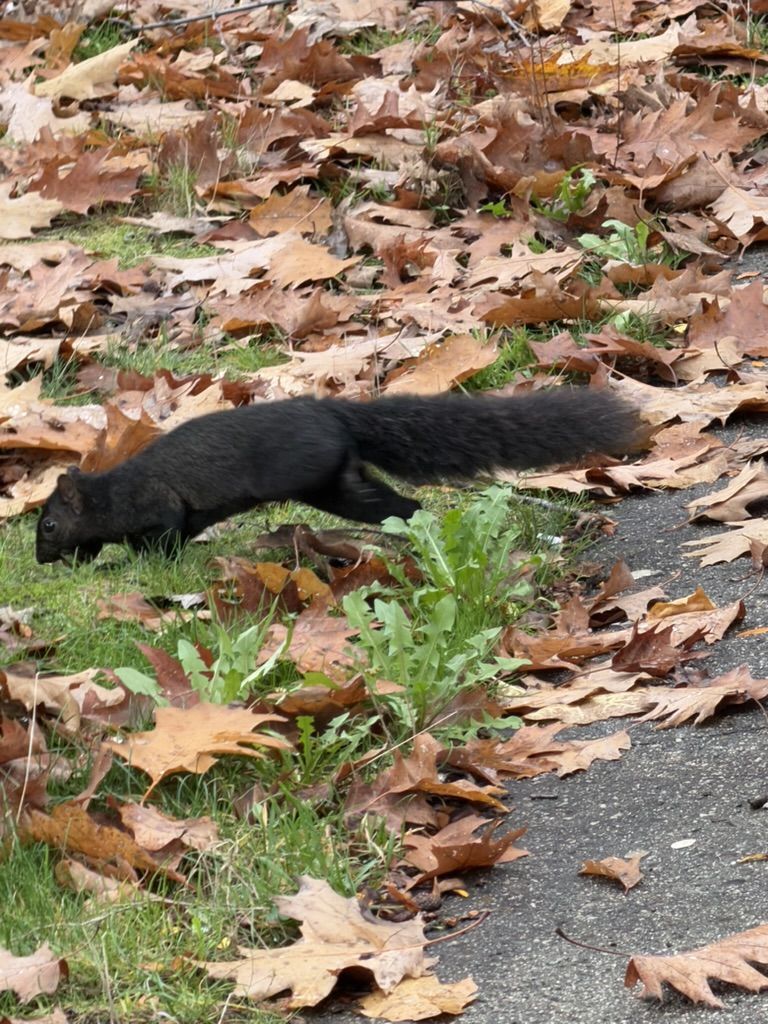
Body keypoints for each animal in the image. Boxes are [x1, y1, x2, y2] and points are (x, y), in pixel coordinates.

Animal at [35, 389, 639, 564]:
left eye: (47, 526)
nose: (43, 561)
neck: (113, 490)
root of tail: (335, 414)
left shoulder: (159, 505)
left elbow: (164, 537)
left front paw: (145, 564)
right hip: (343, 482)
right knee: (398, 504)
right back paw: (415, 533)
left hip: (319, 479)